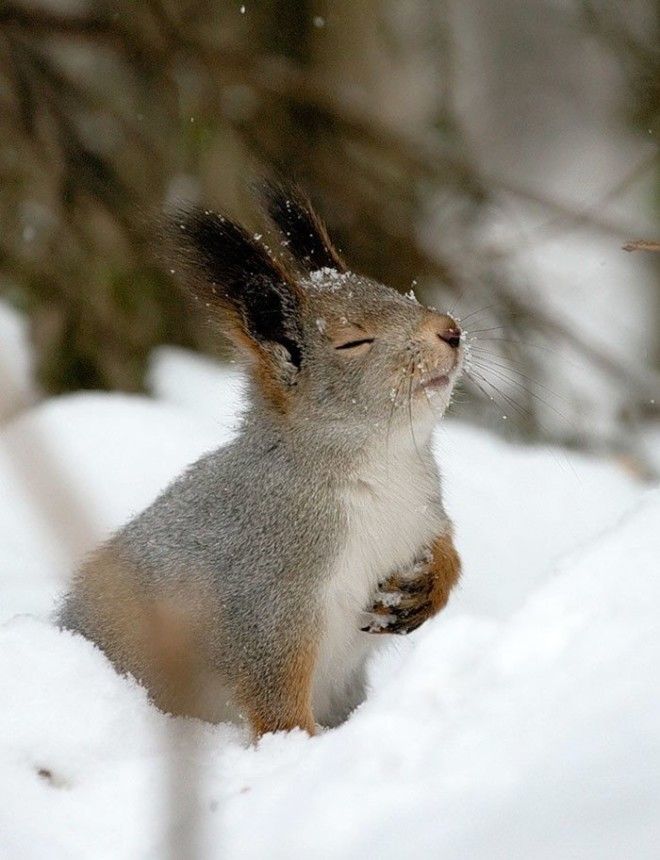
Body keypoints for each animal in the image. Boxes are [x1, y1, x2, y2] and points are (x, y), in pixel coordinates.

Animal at [58, 181, 464, 740]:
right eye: (353, 341)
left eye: (398, 293)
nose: (451, 330)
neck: (383, 468)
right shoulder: (267, 596)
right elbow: (275, 696)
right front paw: (298, 747)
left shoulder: (423, 511)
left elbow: (446, 549)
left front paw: (428, 585)